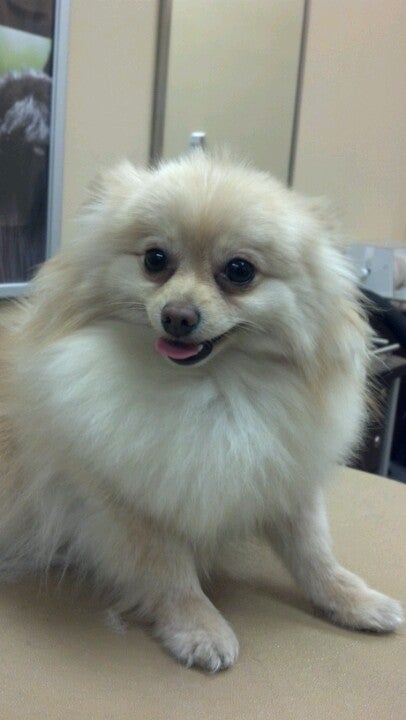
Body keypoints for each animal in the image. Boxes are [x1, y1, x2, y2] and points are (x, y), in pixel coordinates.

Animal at [0, 152, 402, 670]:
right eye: (155, 260)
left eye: (239, 270)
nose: (177, 315)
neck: (213, 389)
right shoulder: (129, 501)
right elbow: (169, 572)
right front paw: (198, 627)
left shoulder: (285, 477)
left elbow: (314, 552)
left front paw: (352, 600)